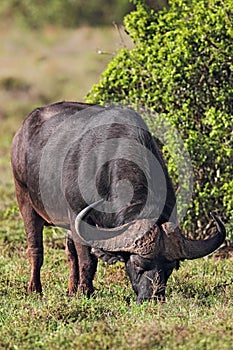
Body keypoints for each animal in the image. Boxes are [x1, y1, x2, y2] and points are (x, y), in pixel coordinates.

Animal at [11, 102, 226, 304]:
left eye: (170, 268)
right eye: (138, 264)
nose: (153, 297)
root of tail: (23, 130)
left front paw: (83, 290)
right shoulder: (78, 215)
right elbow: (88, 260)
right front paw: (85, 292)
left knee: (70, 252)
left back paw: (71, 289)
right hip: (25, 200)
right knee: (36, 249)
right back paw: (35, 289)